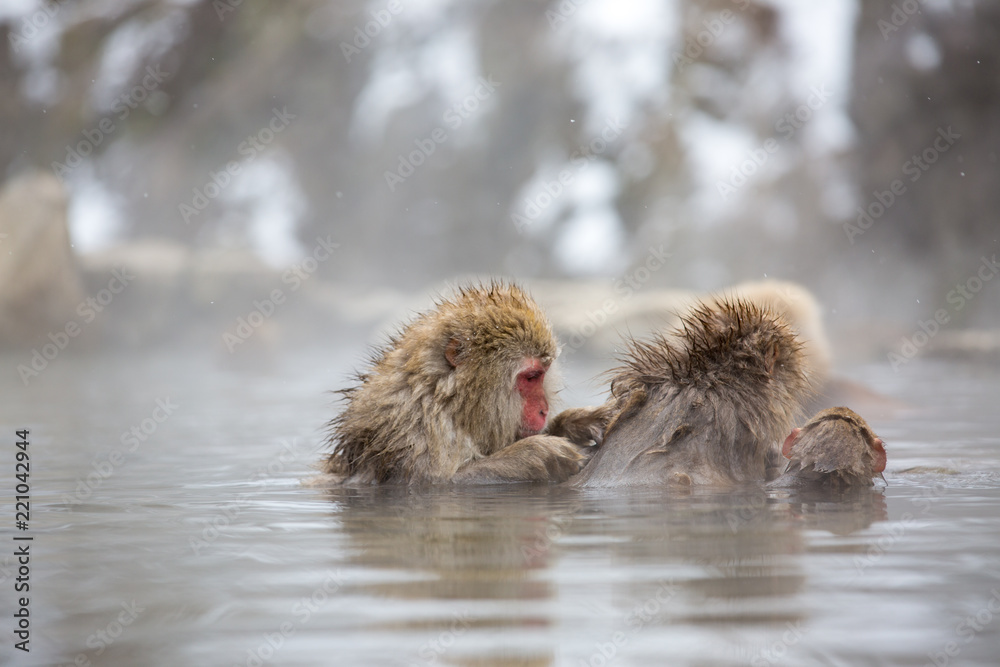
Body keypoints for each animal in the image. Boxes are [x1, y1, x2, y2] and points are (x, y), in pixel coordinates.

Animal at [322, 282, 607, 485]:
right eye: (531, 377)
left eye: (542, 374)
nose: (543, 410)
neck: (446, 401)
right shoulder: (417, 434)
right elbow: (436, 483)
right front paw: (535, 454)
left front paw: (576, 422)